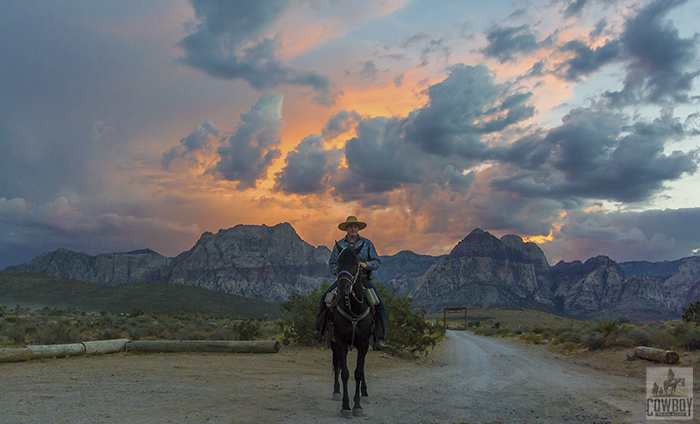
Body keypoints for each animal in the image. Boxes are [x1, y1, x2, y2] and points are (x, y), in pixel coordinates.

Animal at [330, 242, 374, 418]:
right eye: (338, 262)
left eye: (356, 263)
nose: (343, 287)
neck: (354, 310)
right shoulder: (340, 342)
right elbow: (345, 373)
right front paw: (345, 406)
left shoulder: (364, 344)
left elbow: (358, 373)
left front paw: (357, 405)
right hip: (333, 343)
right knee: (336, 364)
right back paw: (336, 392)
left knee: (361, 369)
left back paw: (365, 393)